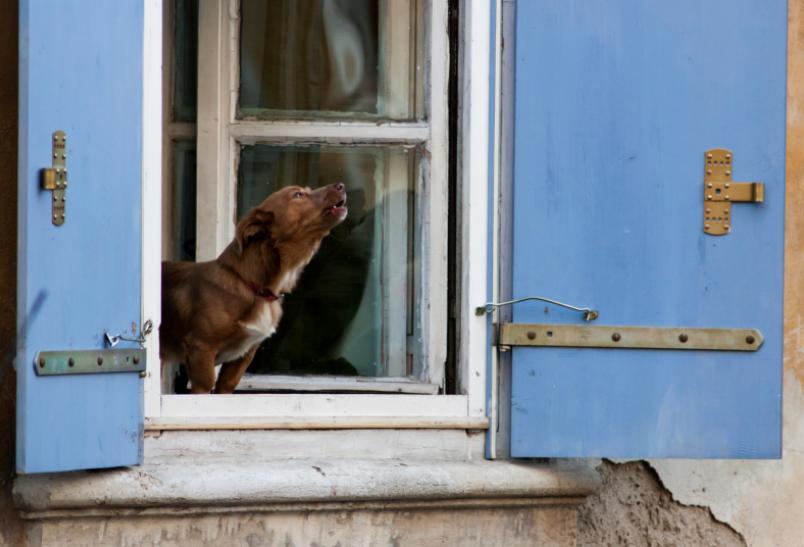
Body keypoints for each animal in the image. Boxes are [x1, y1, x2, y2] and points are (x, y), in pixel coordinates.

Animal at [161, 184, 348, 394]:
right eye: (298, 194)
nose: (341, 185)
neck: (254, 287)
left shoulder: (243, 356)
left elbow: (226, 385)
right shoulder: (201, 349)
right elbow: (205, 386)